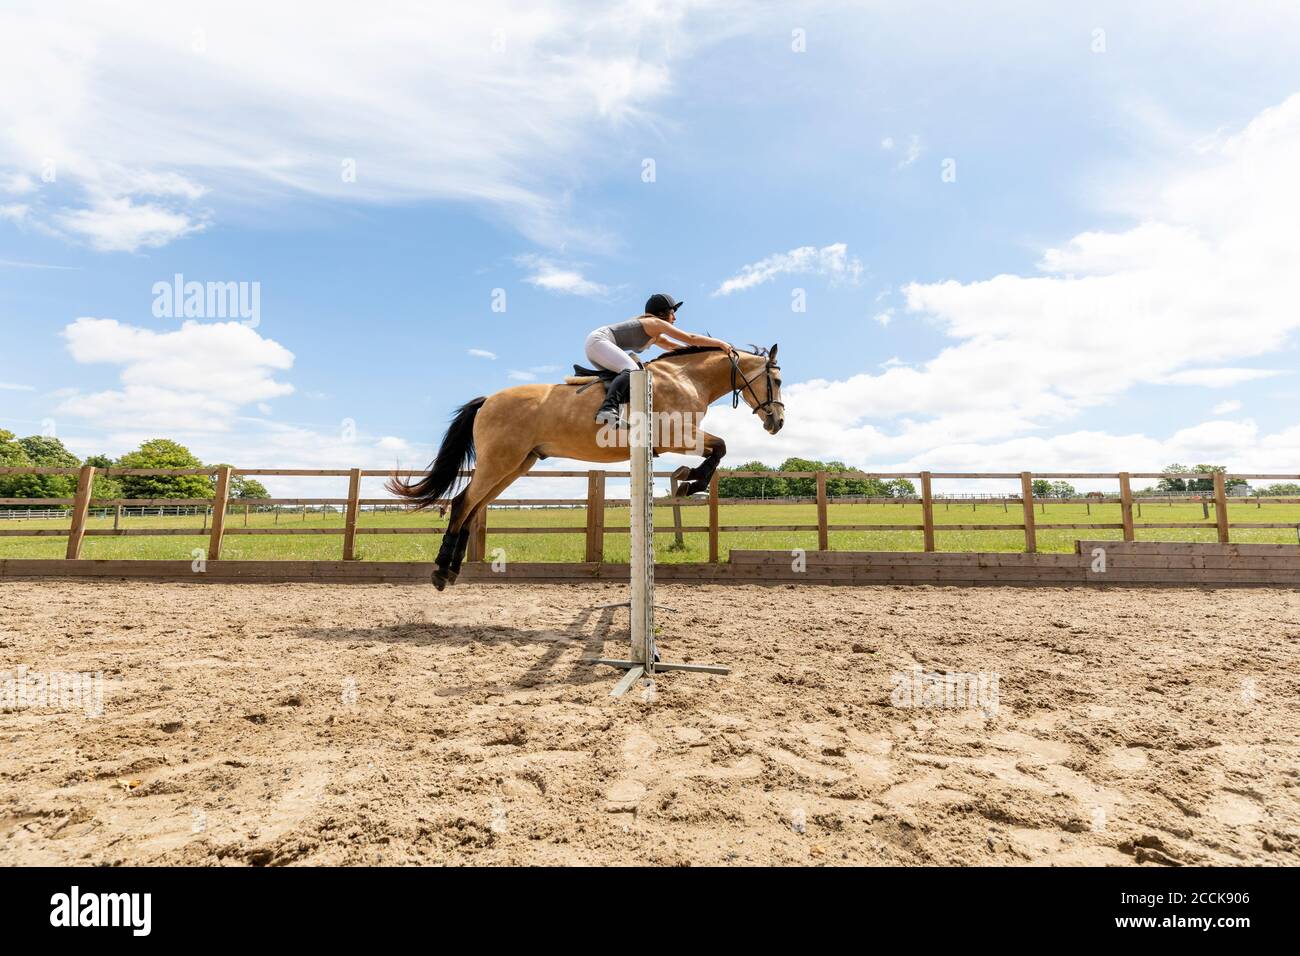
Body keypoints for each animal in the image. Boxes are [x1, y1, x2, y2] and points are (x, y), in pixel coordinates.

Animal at [384, 340, 780, 587]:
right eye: (776, 380)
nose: (777, 422)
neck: (686, 377)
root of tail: (487, 401)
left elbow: (718, 449)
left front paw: (687, 479)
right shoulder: (676, 436)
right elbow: (721, 448)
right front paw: (690, 481)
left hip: (517, 464)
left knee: (473, 505)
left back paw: (451, 570)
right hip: (500, 461)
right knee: (462, 502)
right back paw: (440, 572)